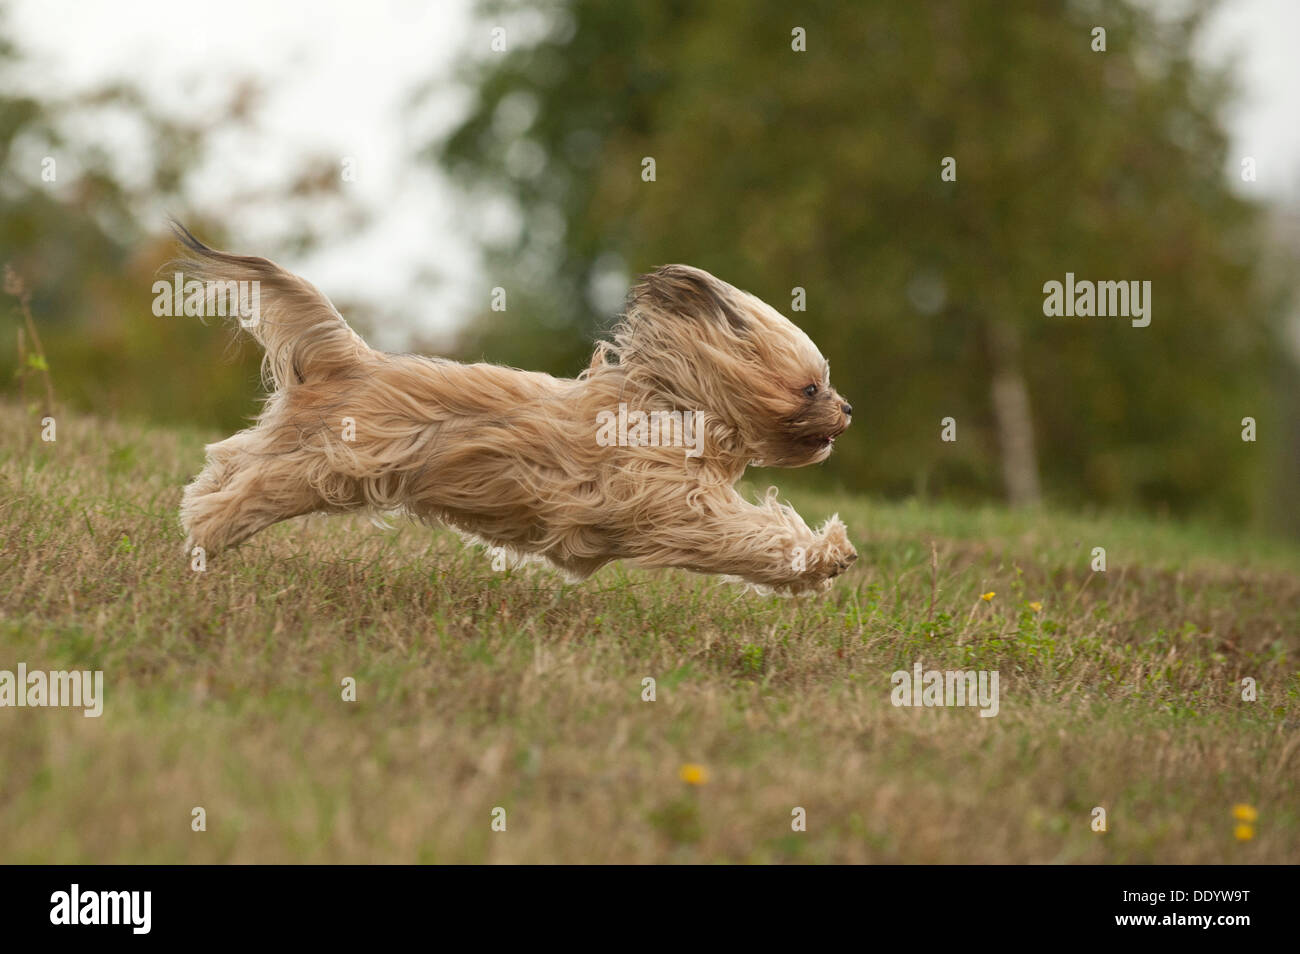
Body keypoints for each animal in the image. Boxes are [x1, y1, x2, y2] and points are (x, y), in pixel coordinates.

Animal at [178, 227, 857, 595]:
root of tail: (353, 359)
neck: (678, 403)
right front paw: (828, 554)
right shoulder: (672, 505)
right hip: (338, 465)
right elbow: (751, 534)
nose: (849, 409)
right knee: (255, 487)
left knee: (234, 459)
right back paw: (208, 532)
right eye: (810, 388)